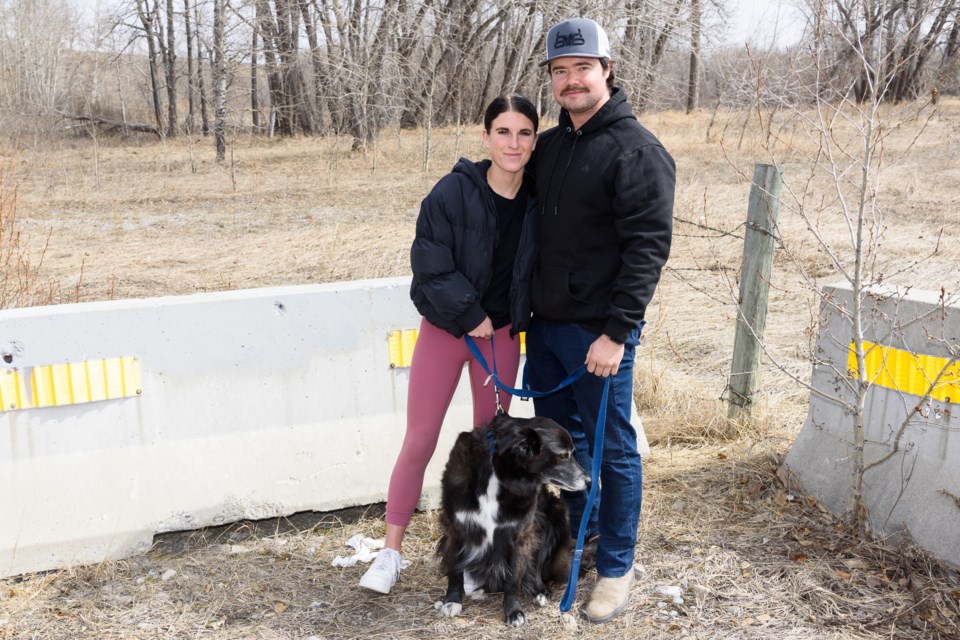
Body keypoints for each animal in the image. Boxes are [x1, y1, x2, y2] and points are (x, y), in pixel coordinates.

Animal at [436, 412, 584, 628]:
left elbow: (513, 578)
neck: (500, 475)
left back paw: (539, 590)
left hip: (554, 516)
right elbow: (455, 569)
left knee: (536, 566)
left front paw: (513, 611)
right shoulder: (456, 528)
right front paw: (453, 600)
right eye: (564, 455)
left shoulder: (520, 535)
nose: (589, 480)